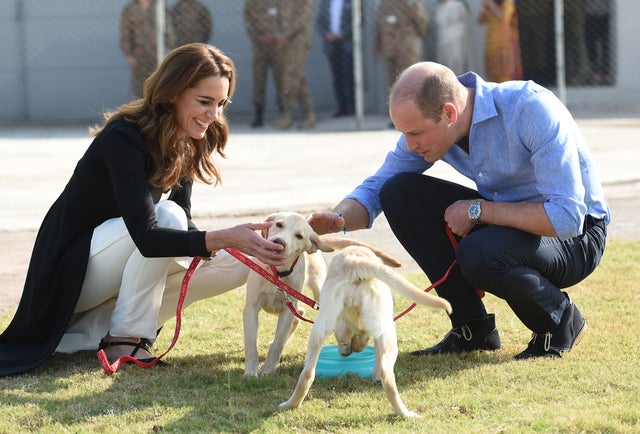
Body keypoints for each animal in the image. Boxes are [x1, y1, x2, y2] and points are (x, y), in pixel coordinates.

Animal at [244, 213, 336, 376]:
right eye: (279, 225)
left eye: (299, 236)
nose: (279, 243)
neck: (278, 274)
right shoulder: (251, 308)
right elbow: (250, 342)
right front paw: (250, 371)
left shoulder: (287, 310)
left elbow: (279, 342)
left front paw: (268, 369)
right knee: (300, 312)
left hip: (317, 291)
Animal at [278, 241, 450, 418]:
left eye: (343, 341)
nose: (348, 352)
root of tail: (354, 263)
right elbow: (378, 360)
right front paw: (375, 376)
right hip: (388, 333)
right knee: (387, 375)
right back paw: (405, 413)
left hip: (319, 329)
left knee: (307, 373)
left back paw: (290, 405)